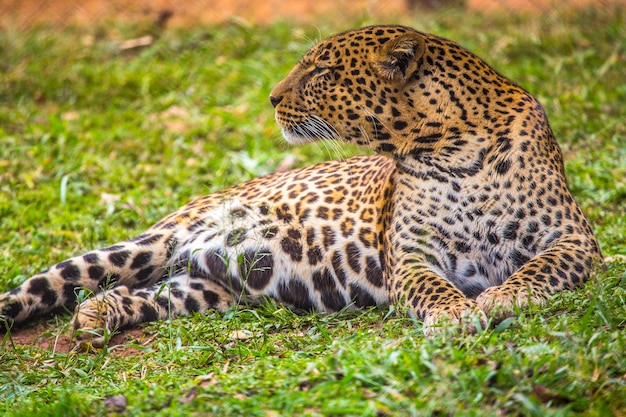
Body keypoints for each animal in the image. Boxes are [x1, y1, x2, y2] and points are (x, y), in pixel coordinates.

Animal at [2, 24, 604, 346]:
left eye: (320, 71)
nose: (270, 97)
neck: (452, 149)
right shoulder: (413, 255)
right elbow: (432, 287)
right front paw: (454, 313)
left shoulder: (574, 238)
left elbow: (537, 271)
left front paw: (497, 300)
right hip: (142, 246)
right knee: (51, 285)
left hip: (206, 291)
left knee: (147, 294)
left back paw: (100, 313)